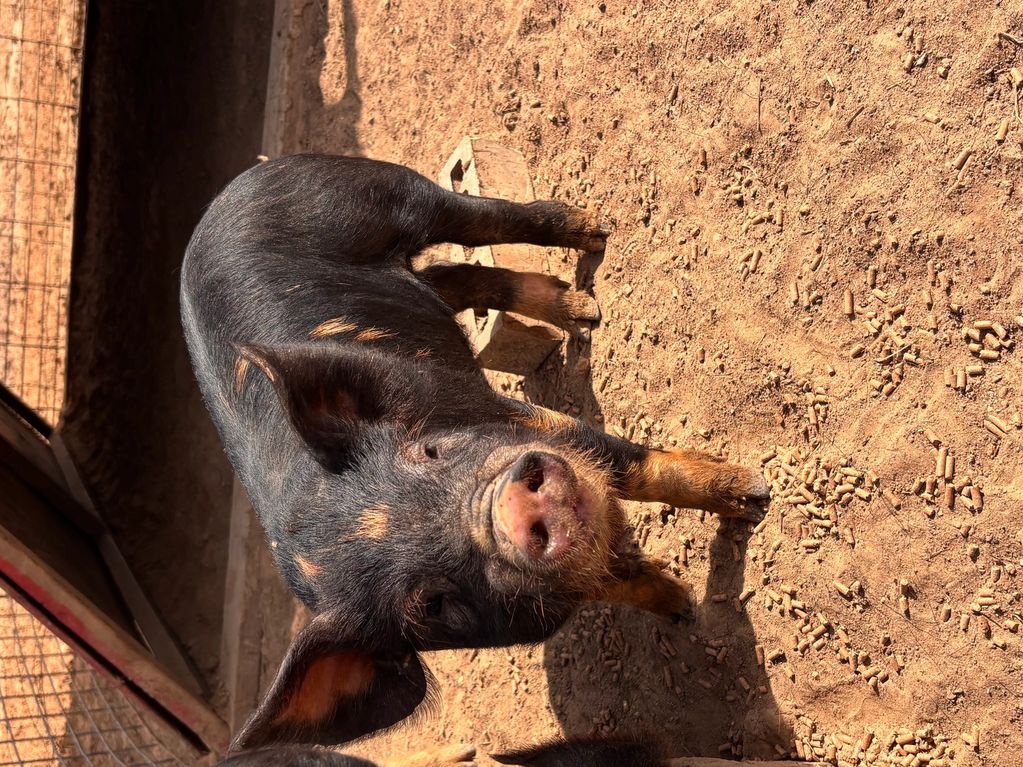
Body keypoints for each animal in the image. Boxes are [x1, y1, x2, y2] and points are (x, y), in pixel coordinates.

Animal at [181, 155, 769, 753]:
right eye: (433, 605)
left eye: (430, 450)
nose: (511, 510)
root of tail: (231, 192)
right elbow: (619, 582)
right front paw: (683, 610)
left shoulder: (519, 420)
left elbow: (635, 466)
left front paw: (752, 494)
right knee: (452, 278)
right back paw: (580, 310)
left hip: (377, 195)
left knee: (479, 223)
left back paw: (591, 250)